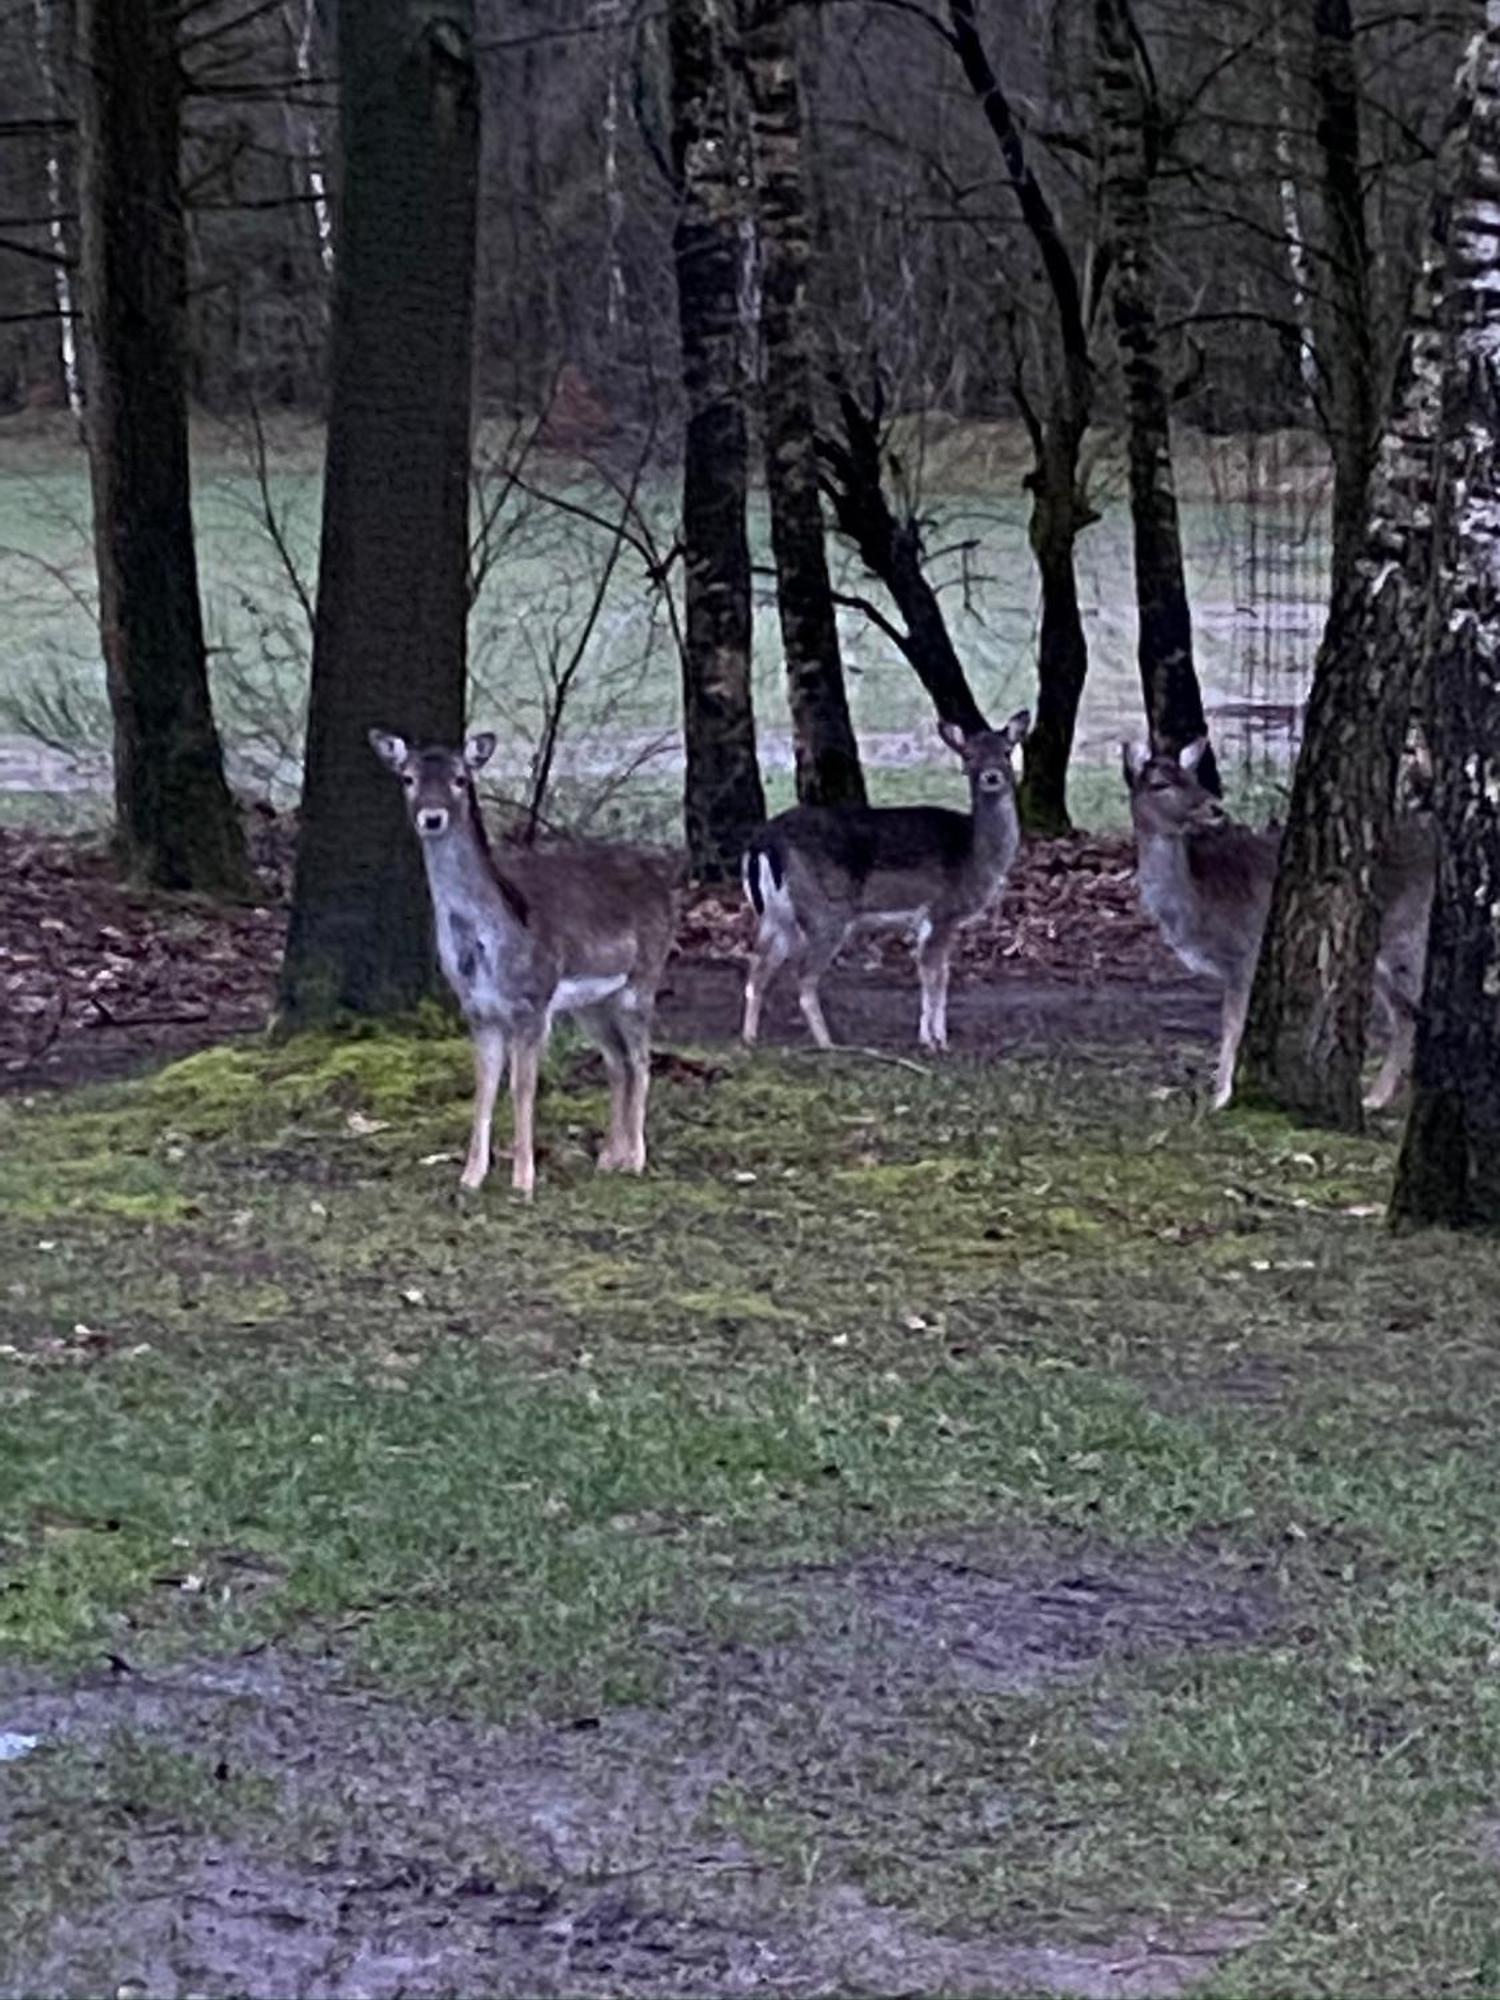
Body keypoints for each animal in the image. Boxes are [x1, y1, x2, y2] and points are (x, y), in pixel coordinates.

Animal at [374, 736, 680, 1200]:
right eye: (408, 778)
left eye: (460, 779)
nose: (432, 817)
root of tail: (665, 882)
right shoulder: (478, 1010)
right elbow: (484, 1087)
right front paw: (471, 1177)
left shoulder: (533, 1002)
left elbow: (522, 1087)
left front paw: (523, 1182)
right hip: (591, 1004)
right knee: (617, 1063)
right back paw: (609, 1158)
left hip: (641, 979)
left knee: (642, 1060)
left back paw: (636, 1161)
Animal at [744, 720, 1032, 1064]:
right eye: (969, 754)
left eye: (1007, 751)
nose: (991, 776)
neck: (975, 854)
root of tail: (763, 841)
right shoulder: (943, 909)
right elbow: (935, 976)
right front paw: (935, 1042)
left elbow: (937, 973)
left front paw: (932, 1037)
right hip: (824, 911)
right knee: (803, 976)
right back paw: (829, 1044)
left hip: (775, 916)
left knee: (757, 969)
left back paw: (749, 1038)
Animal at [1128, 736, 1432, 1112]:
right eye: (1161, 784)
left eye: (1193, 777)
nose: (1215, 807)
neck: (1201, 904)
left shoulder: (1248, 951)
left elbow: (1233, 1025)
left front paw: (1222, 1096)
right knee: (1404, 1012)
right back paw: (1376, 1097)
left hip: (1411, 932)